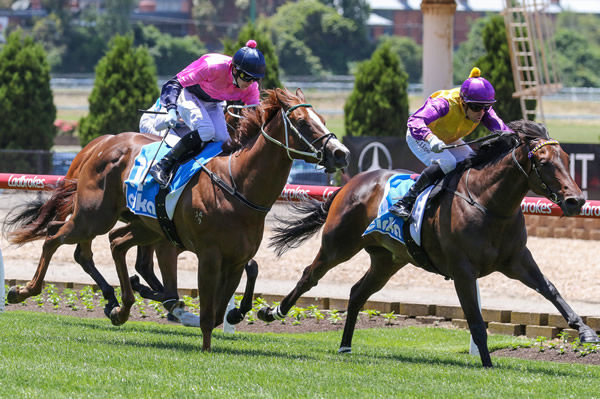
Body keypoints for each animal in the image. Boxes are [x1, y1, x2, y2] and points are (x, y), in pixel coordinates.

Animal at [4, 87, 350, 350]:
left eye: (322, 119)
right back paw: (23, 291)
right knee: (55, 237)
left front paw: (228, 318)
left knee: (112, 244)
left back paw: (121, 305)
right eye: (302, 122)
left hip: (145, 226)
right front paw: (204, 343)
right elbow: (208, 309)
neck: (238, 183)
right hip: (94, 216)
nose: (341, 153)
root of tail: (100, 146)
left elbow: (224, 303)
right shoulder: (208, 255)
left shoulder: (235, 258)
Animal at [260, 121, 596, 368]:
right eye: (544, 162)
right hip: (338, 245)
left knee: (357, 293)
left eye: (567, 160)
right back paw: (272, 312)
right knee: (309, 276)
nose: (576, 201)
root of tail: (349, 184)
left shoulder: (517, 260)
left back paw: (344, 346)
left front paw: (586, 332)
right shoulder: (463, 271)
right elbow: (475, 320)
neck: (487, 203)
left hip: (388, 260)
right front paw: (487, 364)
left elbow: (550, 290)